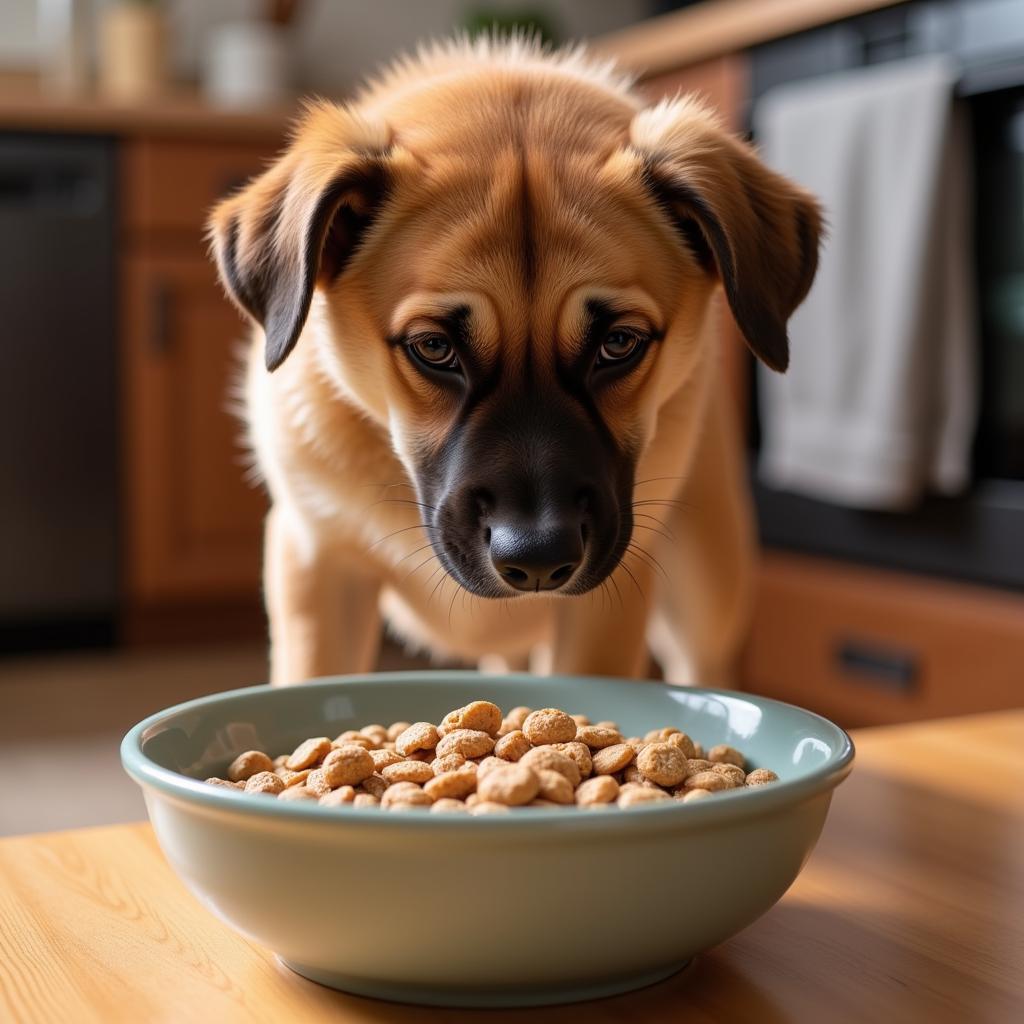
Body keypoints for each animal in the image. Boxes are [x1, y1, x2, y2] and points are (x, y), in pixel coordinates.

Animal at [207, 37, 823, 688]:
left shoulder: (607, 604)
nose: (538, 559)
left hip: (705, 589)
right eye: (434, 348)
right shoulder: (318, 565)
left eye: (619, 342)